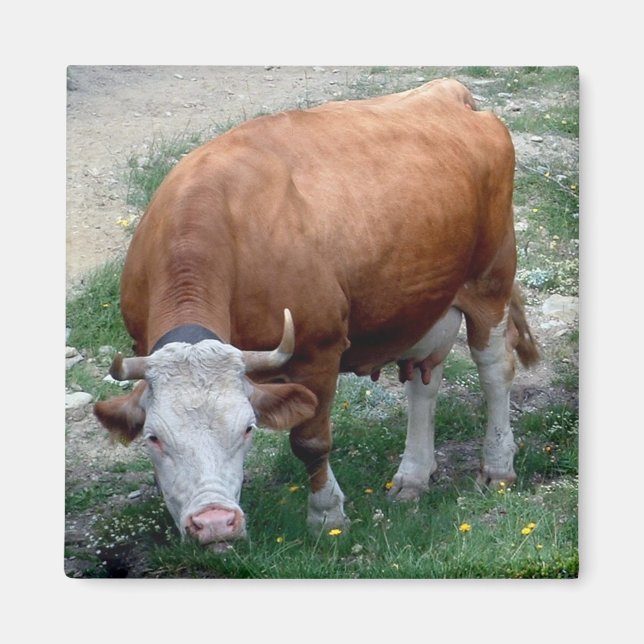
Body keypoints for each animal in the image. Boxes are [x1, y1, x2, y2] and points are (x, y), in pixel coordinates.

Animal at [94, 78, 539, 547]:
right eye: (154, 438)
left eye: (247, 428)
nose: (214, 522)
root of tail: (447, 90)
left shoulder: (318, 351)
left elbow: (311, 442)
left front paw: (327, 514)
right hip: (421, 300)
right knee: (425, 380)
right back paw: (413, 477)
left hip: (491, 279)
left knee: (495, 369)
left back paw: (497, 466)